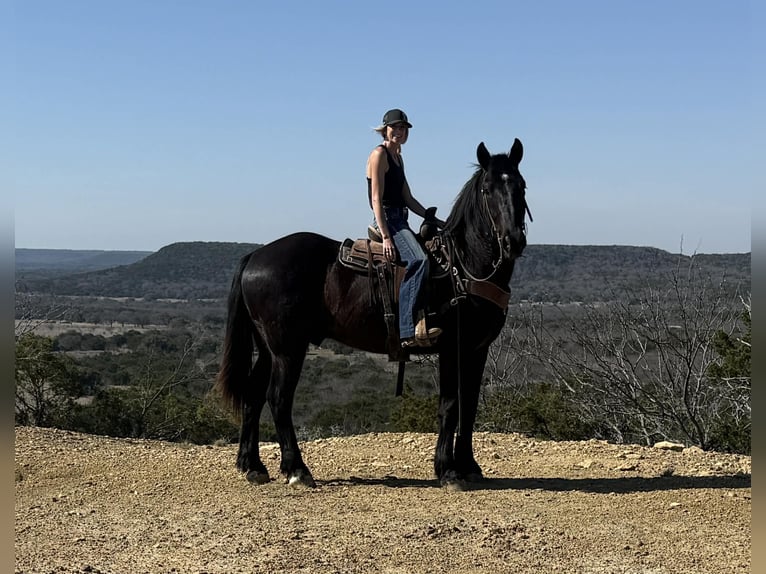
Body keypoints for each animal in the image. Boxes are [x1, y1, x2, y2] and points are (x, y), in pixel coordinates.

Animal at [215, 139, 530, 488]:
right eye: (487, 189)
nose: (513, 241)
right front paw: (448, 470)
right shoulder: (452, 348)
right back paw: (297, 469)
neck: (462, 265)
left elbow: (469, 404)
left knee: (253, 395)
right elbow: (450, 405)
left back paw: (252, 465)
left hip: (268, 347)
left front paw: (469, 466)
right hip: (288, 349)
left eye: (520, 186)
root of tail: (256, 255)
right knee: (278, 399)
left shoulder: (477, 350)